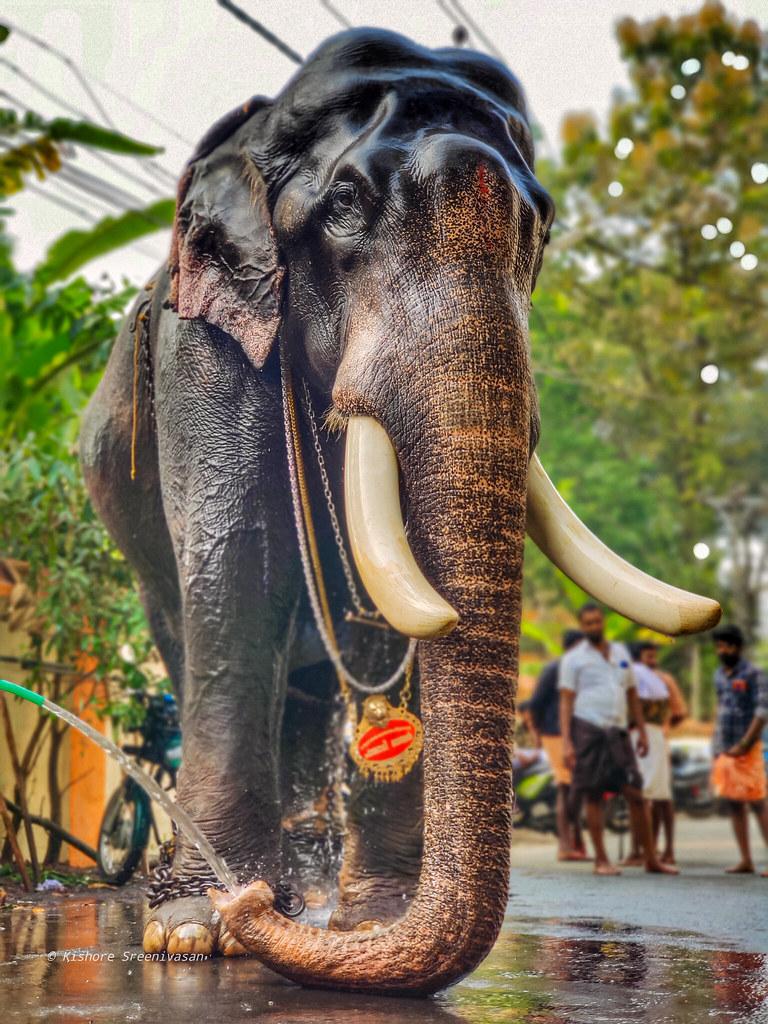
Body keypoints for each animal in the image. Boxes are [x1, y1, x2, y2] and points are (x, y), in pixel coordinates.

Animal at [80, 28, 720, 996]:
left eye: (542, 225)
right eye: (345, 205)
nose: (241, 906)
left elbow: (375, 621)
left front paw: (367, 920)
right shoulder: (205, 342)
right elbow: (240, 565)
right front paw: (193, 932)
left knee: (308, 687)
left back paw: (304, 897)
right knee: (189, 630)